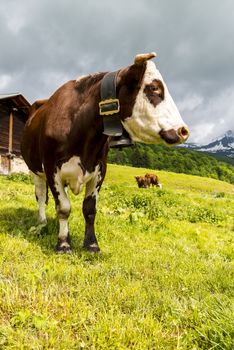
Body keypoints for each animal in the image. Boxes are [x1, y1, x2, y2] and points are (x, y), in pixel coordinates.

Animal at [21, 52, 189, 253]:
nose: (183, 131)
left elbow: (89, 209)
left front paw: (91, 244)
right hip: (35, 170)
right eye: (154, 88)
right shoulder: (51, 168)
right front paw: (63, 243)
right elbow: (63, 207)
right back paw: (42, 221)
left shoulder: (100, 169)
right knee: (40, 196)